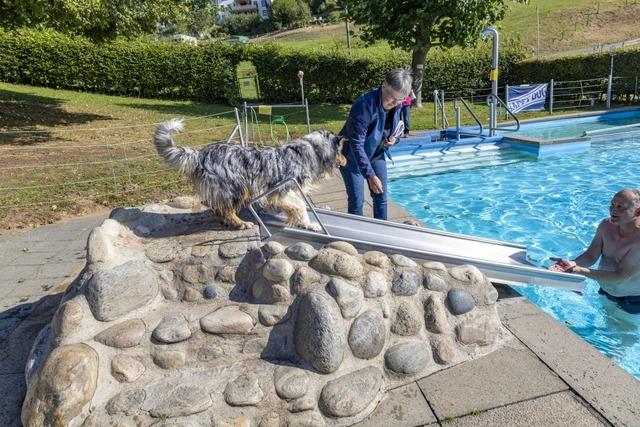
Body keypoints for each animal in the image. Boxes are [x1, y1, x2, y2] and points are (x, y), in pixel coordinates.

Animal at [154, 120, 344, 231]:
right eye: (341, 150)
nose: (346, 160)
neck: (312, 149)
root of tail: (200, 154)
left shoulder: (290, 191)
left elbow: (296, 206)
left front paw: (302, 223)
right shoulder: (282, 189)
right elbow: (301, 206)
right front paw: (310, 224)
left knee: (218, 209)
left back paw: (226, 223)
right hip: (237, 187)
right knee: (226, 210)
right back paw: (241, 224)